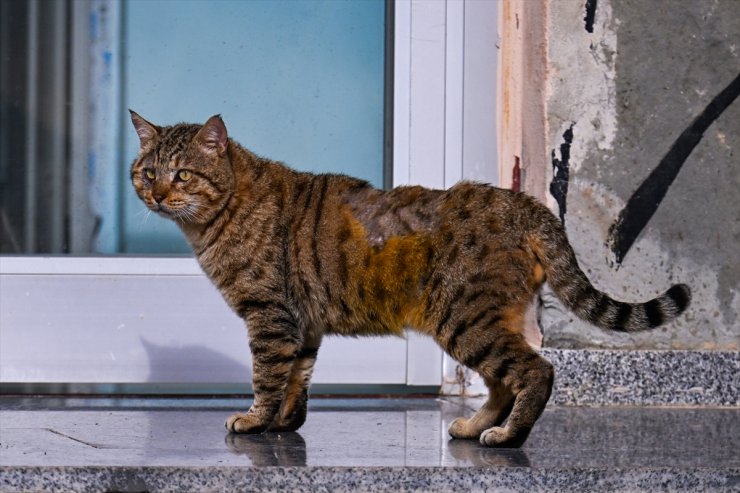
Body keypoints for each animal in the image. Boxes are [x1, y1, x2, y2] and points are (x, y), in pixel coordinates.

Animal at [130, 111, 692, 446]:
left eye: (182, 174)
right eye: (146, 172)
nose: (156, 194)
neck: (219, 218)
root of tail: (527, 205)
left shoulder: (270, 316)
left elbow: (268, 375)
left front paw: (253, 419)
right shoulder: (302, 323)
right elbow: (297, 377)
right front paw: (284, 423)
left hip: (464, 319)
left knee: (536, 371)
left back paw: (508, 435)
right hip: (485, 320)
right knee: (502, 382)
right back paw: (474, 426)